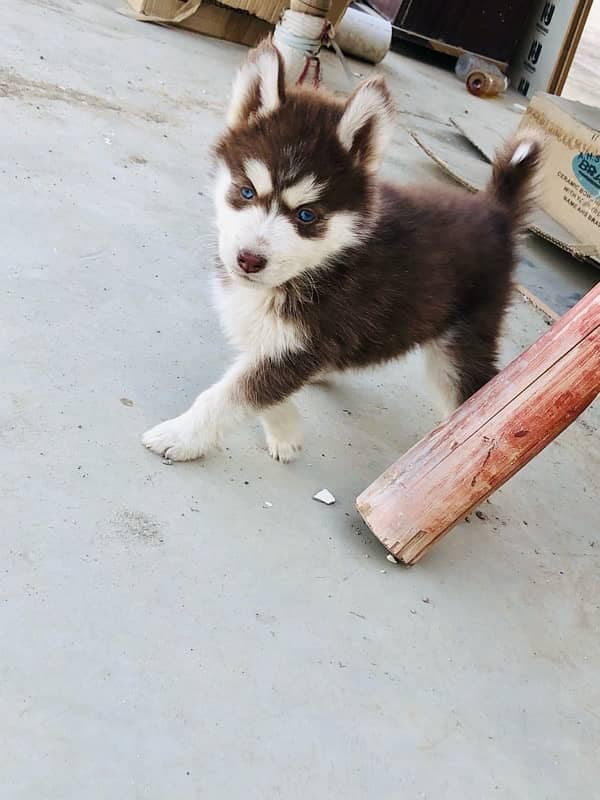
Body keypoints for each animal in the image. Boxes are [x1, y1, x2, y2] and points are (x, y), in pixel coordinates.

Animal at [143, 43, 540, 466]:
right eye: (246, 191)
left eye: (306, 215)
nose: (248, 260)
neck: (323, 264)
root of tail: (496, 211)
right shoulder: (288, 343)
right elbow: (258, 380)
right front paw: (287, 431)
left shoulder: (307, 340)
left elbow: (232, 394)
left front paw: (182, 435)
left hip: (460, 347)